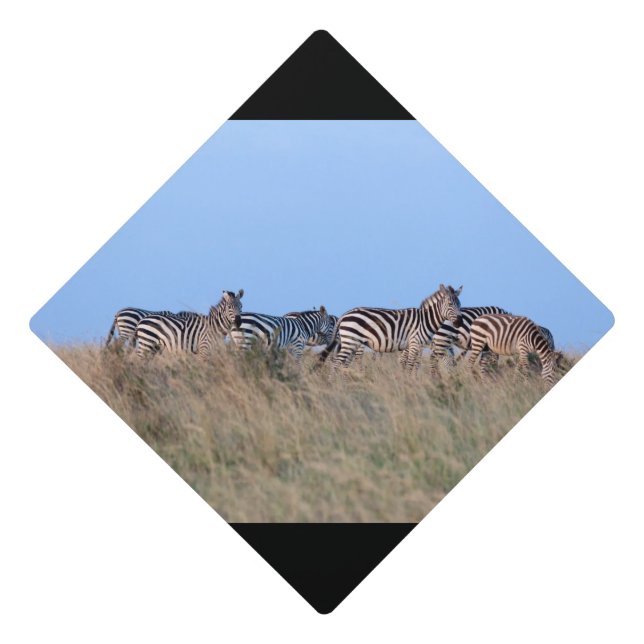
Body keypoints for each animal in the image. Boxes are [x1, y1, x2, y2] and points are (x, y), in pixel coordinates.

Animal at [318, 284, 463, 371]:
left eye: (460, 304)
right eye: (450, 304)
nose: (460, 322)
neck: (425, 319)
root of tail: (344, 314)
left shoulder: (416, 345)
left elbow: (412, 365)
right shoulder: (415, 343)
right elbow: (410, 366)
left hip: (351, 343)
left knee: (342, 364)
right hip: (350, 341)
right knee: (336, 363)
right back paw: (334, 385)